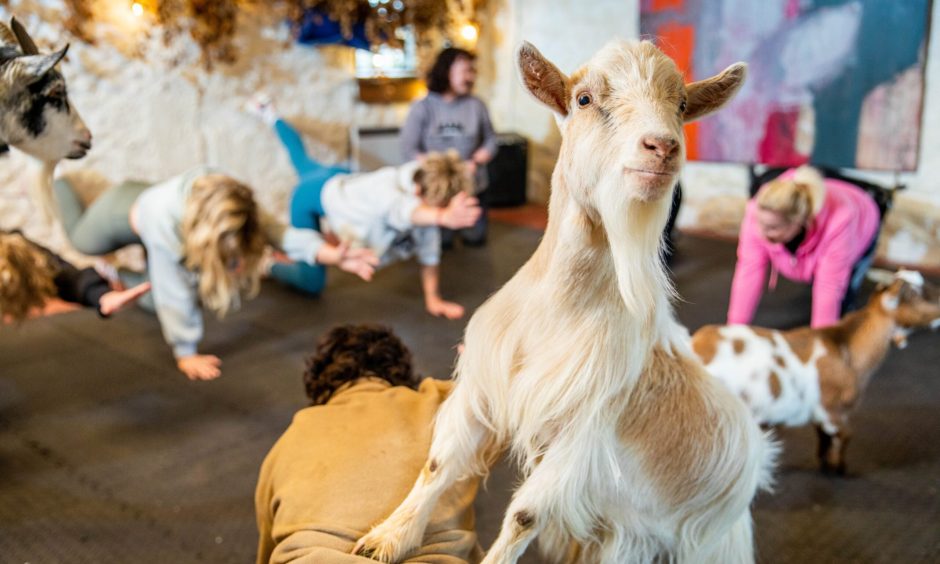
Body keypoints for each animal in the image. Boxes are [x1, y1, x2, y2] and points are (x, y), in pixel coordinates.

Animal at [356, 39, 776, 564]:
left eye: (682, 105)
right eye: (584, 99)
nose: (662, 147)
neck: (558, 312)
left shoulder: (582, 434)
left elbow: (523, 516)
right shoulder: (483, 388)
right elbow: (437, 464)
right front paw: (388, 536)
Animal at [692, 270, 940, 474]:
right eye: (917, 294)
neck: (846, 349)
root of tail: (693, 345)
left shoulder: (821, 413)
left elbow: (824, 436)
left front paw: (824, 461)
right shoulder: (832, 409)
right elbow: (845, 436)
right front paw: (839, 468)